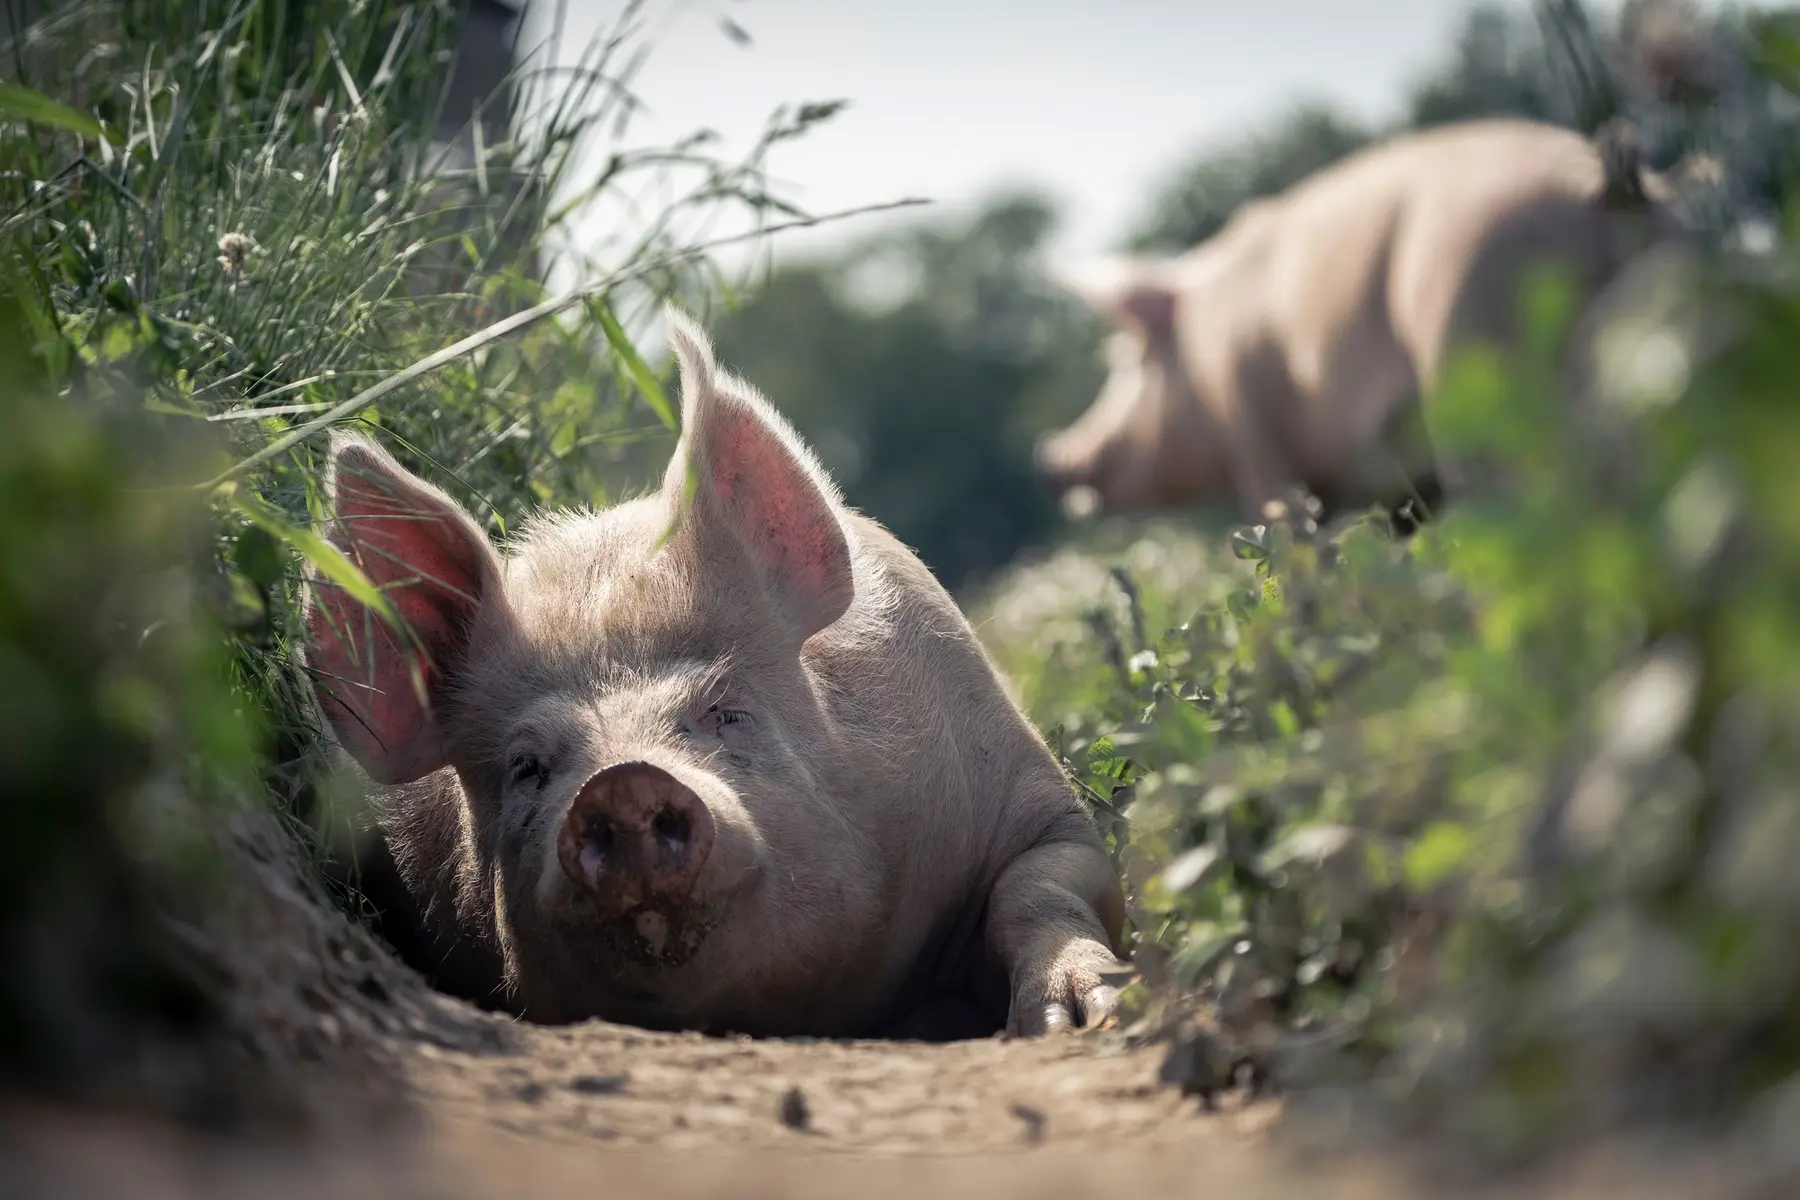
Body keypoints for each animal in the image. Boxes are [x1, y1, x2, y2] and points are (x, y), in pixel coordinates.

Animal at [301, 308, 1129, 1039]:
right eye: (526, 766)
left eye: (725, 711)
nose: (623, 783)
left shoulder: (1023, 794)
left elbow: (1040, 882)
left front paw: (1081, 1019)